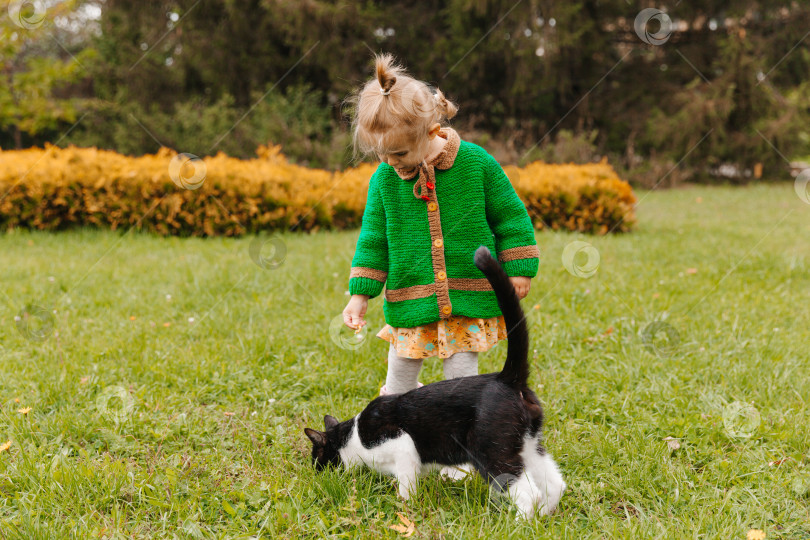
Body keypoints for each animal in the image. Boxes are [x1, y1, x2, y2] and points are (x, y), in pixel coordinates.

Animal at [304, 246, 560, 520]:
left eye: (316, 458)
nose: (316, 474)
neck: (353, 436)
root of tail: (506, 378)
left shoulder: (402, 445)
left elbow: (406, 485)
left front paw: (404, 510)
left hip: (492, 449)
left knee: (528, 492)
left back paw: (519, 522)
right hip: (528, 445)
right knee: (555, 483)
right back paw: (545, 517)